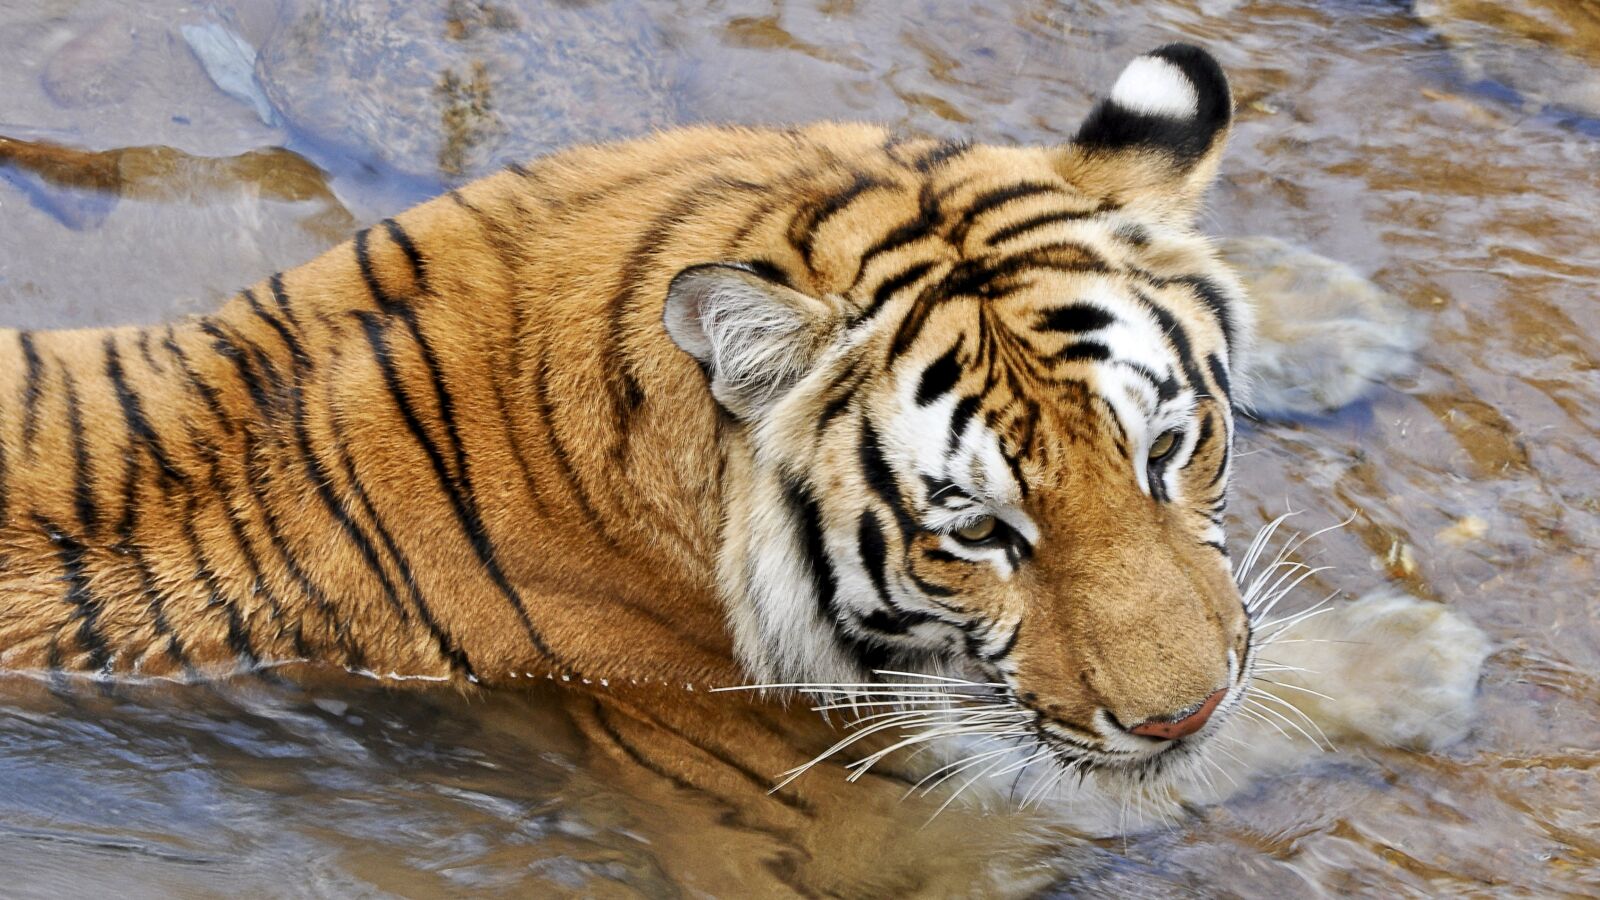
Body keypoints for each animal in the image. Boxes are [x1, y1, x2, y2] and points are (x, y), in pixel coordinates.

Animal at [0, 43, 1489, 895]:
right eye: (977, 534)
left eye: (1170, 450)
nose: (1177, 710)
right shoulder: (861, 834)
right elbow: (1183, 757)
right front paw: (1412, 659)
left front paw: (1331, 309)